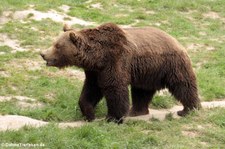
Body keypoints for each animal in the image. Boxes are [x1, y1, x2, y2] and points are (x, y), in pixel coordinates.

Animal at [40, 23, 202, 123]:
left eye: (57, 46)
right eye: (54, 43)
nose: (43, 54)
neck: (97, 57)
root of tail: (176, 40)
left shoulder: (115, 59)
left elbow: (114, 87)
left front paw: (113, 118)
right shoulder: (95, 71)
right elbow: (91, 90)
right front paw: (89, 114)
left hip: (171, 64)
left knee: (183, 84)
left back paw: (188, 109)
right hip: (147, 72)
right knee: (142, 91)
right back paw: (136, 111)